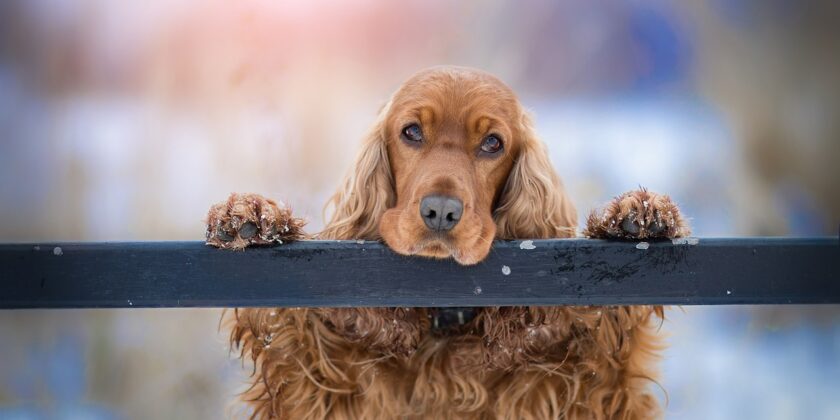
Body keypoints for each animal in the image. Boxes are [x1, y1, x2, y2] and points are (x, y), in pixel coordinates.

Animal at [207, 67, 684, 418]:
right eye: (411, 132)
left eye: (492, 143)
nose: (440, 211)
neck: (445, 320)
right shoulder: (320, 383)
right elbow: (292, 331)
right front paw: (252, 216)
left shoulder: (584, 383)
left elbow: (608, 345)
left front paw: (633, 215)